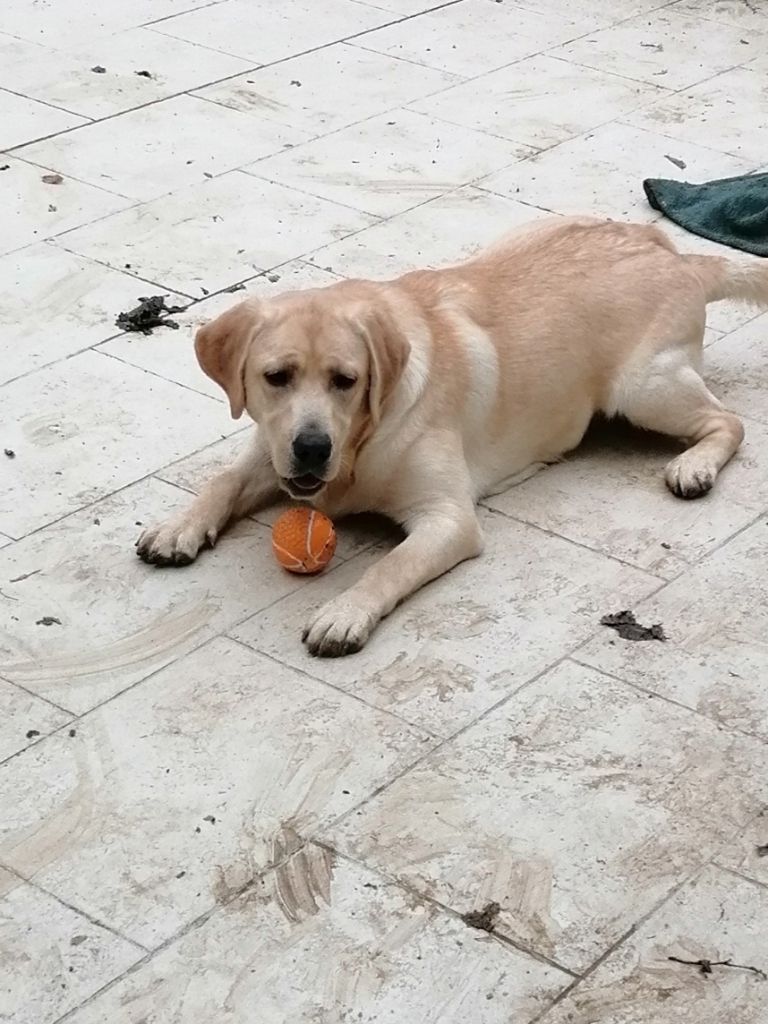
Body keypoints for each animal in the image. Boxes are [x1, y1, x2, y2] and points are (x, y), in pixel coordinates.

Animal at [138, 218, 768, 655]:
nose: (313, 448)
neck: (360, 444)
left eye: (346, 380)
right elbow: (221, 480)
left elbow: (389, 565)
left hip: (642, 388)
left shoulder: (447, 518)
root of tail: (681, 257)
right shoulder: (270, 452)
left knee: (730, 421)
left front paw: (345, 612)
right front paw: (178, 527)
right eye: (276, 377)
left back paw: (695, 466)